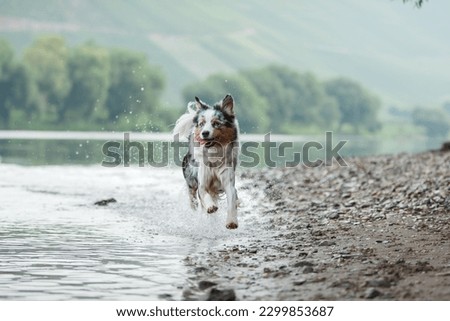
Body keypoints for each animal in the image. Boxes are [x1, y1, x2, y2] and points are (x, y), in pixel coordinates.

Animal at [172, 94, 239, 229]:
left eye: (216, 123)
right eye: (202, 123)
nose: (204, 133)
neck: (214, 155)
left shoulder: (228, 182)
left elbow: (231, 201)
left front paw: (231, 221)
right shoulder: (202, 182)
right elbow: (204, 194)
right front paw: (211, 207)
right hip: (191, 183)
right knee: (193, 200)